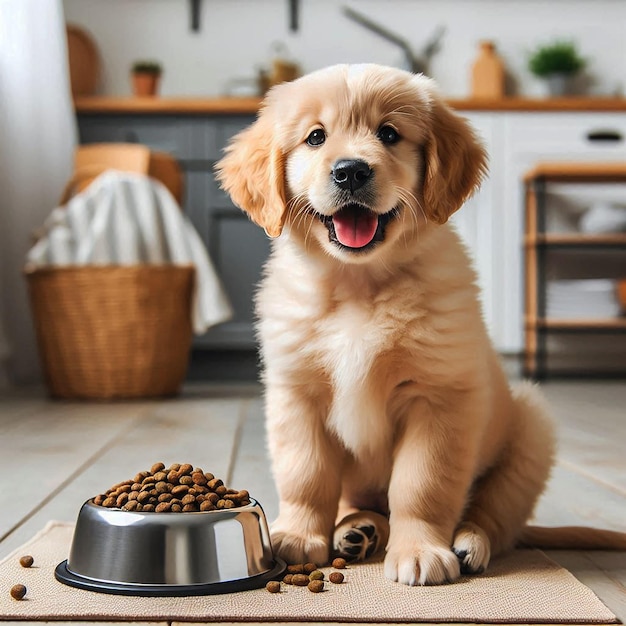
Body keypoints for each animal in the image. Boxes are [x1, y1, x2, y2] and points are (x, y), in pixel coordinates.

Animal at [217, 63, 560, 580]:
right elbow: (305, 474)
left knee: (496, 516)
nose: (351, 171)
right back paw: (356, 530)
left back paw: (468, 543)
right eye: (316, 137)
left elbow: (421, 484)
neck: (359, 287)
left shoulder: (438, 398)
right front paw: (298, 535)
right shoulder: (297, 394)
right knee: (360, 502)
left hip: (532, 430)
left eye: (390, 134)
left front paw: (419, 550)